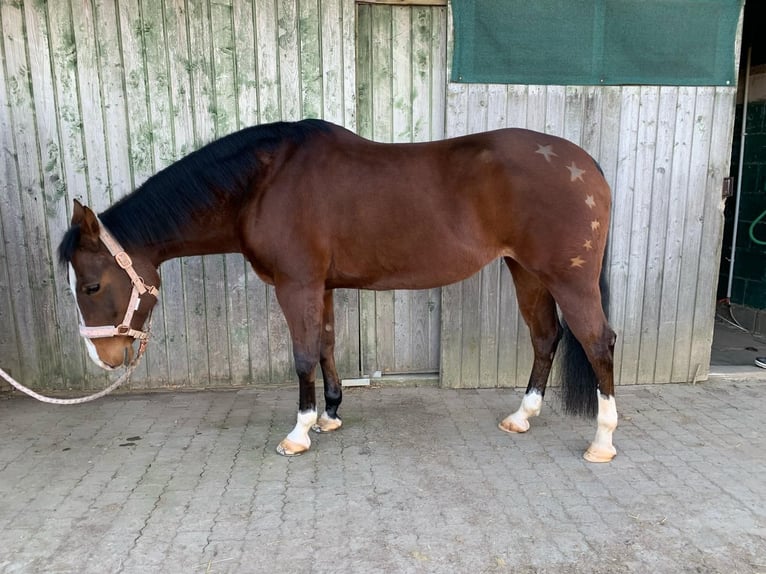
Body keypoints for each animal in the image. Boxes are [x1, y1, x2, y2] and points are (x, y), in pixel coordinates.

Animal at [63, 120, 620, 464]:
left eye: (91, 284)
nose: (102, 358)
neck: (264, 183)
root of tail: (584, 164)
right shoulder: (321, 287)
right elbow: (327, 345)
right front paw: (329, 416)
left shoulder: (296, 286)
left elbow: (303, 354)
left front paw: (298, 432)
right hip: (525, 271)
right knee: (545, 337)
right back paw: (521, 417)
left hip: (567, 278)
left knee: (598, 343)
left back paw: (602, 442)